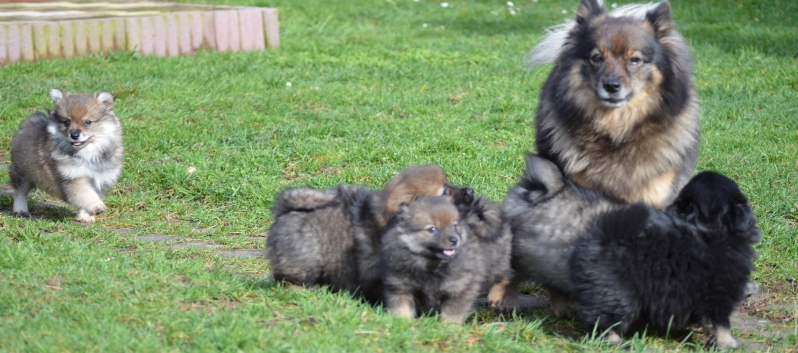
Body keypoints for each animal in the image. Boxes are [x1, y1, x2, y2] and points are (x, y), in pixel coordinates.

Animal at [8, 88, 123, 221]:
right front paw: (97, 206)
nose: (74, 135)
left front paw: (85, 217)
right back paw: (20, 210)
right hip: (22, 171)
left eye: (88, 122)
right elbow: (86, 194)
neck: (88, 153)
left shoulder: (103, 180)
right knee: (20, 191)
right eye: (67, 122)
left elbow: (93, 195)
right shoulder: (72, 177)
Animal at [572, 171, 760, 350]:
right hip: (619, 292)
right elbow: (720, 324)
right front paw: (729, 345)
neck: (708, 228)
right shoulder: (718, 293)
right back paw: (618, 343)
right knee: (605, 322)